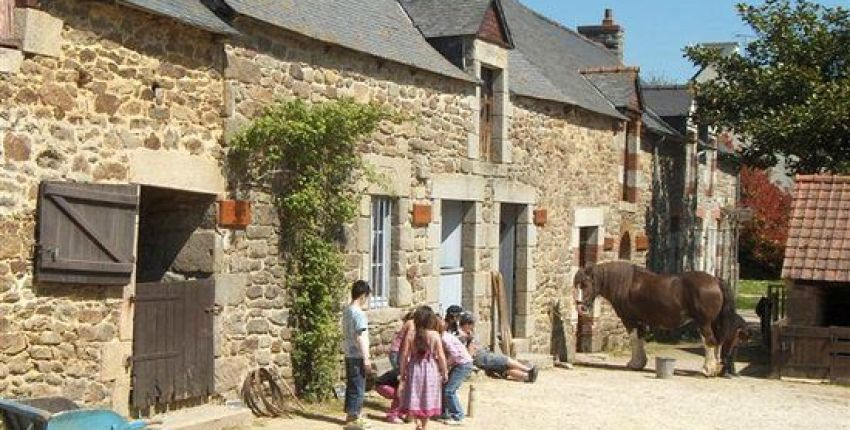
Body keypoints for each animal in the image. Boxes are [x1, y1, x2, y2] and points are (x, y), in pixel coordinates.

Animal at [576, 260, 736, 374]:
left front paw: (634, 364)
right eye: (577, 284)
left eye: (585, 284)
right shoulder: (640, 321)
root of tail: (715, 281)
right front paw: (640, 363)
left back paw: (708, 369)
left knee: (709, 341)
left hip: (704, 323)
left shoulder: (629, 320)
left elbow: (634, 339)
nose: (580, 308)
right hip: (714, 322)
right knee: (717, 342)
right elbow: (640, 339)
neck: (625, 284)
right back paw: (715, 368)